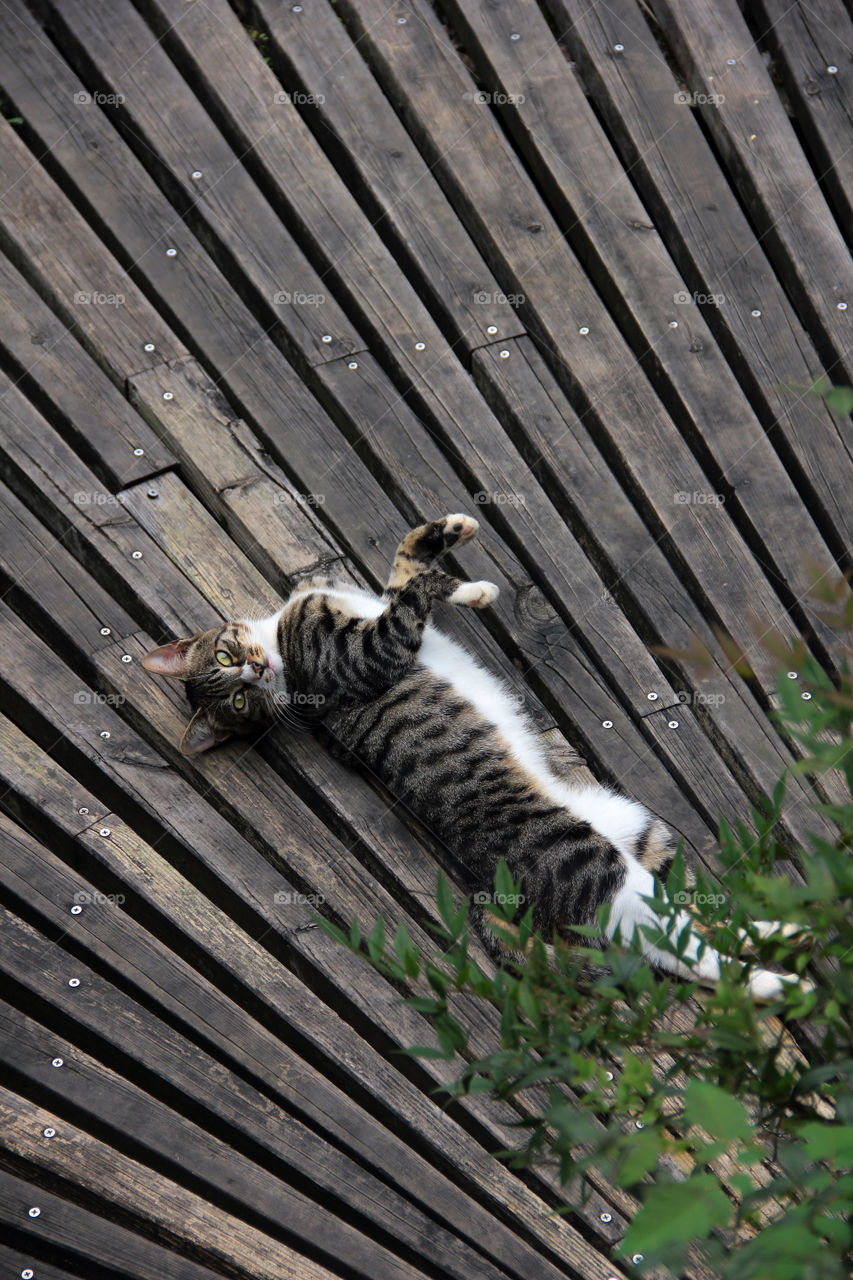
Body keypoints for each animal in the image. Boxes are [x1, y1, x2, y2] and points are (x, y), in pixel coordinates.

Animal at [144, 509, 804, 998]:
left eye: (229, 668)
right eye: (237, 698)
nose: (254, 672)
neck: (281, 640)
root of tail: (501, 898)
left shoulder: (375, 609)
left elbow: (403, 567)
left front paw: (449, 534)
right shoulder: (374, 651)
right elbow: (413, 592)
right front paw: (469, 585)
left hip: (644, 829)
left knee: (696, 916)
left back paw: (786, 926)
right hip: (593, 864)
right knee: (678, 948)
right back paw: (780, 981)